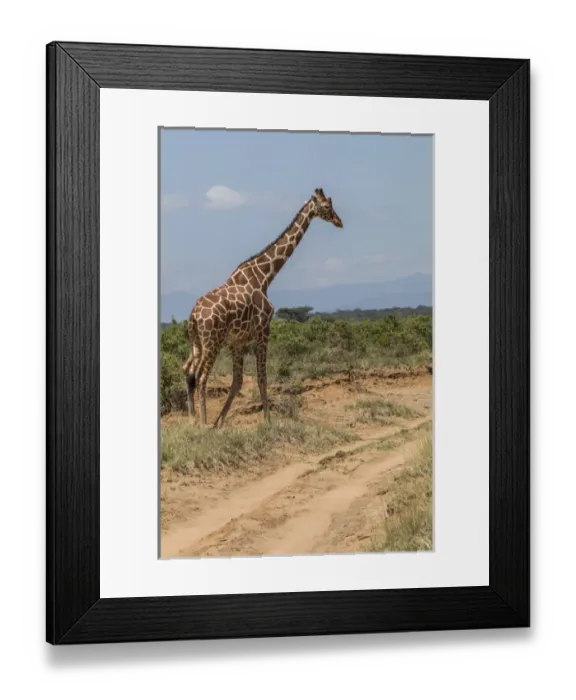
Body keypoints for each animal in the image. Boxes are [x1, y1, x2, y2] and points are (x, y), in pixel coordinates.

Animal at [183, 187, 343, 429]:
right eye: (326, 206)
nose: (338, 221)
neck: (265, 276)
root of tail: (193, 316)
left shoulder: (238, 341)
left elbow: (238, 381)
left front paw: (220, 422)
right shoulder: (263, 331)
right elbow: (262, 377)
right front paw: (268, 421)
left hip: (197, 342)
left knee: (189, 371)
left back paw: (193, 419)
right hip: (212, 342)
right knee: (201, 375)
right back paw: (202, 421)